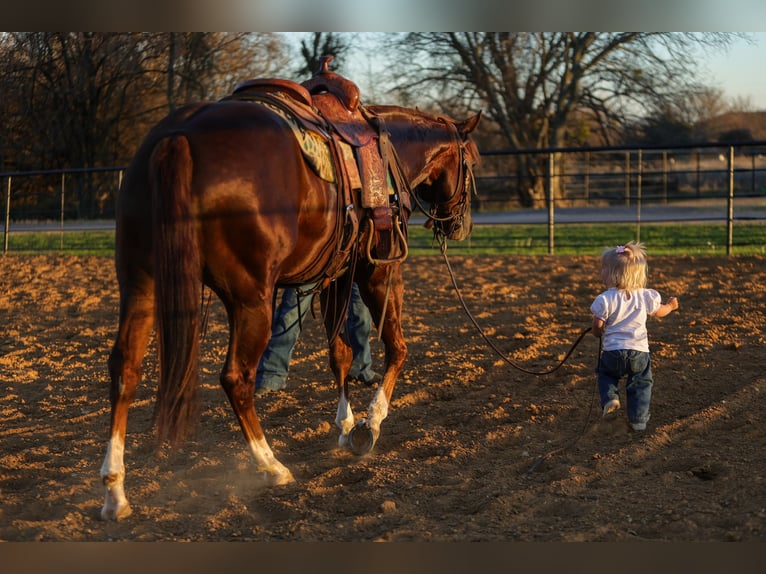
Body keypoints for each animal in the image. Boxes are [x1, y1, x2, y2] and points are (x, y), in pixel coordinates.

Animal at [99, 75, 481, 520]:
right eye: (472, 161)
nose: (461, 225)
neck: (389, 152)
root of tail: (179, 137)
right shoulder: (377, 269)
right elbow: (397, 348)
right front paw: (370, 425)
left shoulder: (336, 275)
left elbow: (340, 355)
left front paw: (345, 425)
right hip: (251, 299)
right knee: (236, 378)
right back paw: (271, 466)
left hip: (140, 285)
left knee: (125, 370)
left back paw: (115, 491)